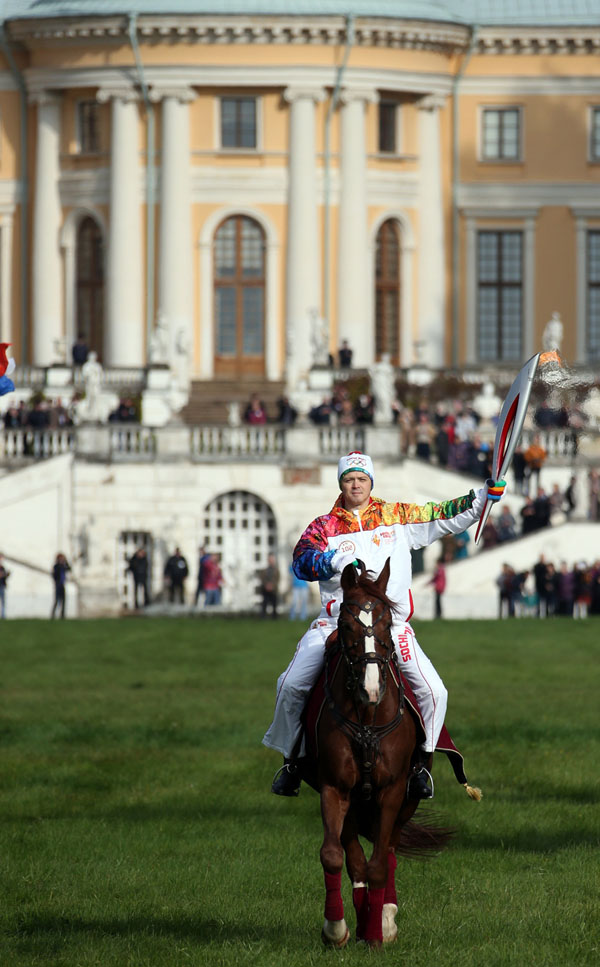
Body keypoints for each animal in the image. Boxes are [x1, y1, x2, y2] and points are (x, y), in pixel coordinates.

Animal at [302, 560, 452, 944]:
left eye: (387, 623)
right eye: (345, 623)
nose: (371, 688)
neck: (368, 716)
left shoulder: (393, 790)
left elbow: (380, 864)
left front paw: (376, 932)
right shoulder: (335, 787)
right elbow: (335, 856)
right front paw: (337, 928)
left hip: (407, 799)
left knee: (390, 852)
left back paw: (383, 917)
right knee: (356, 859)